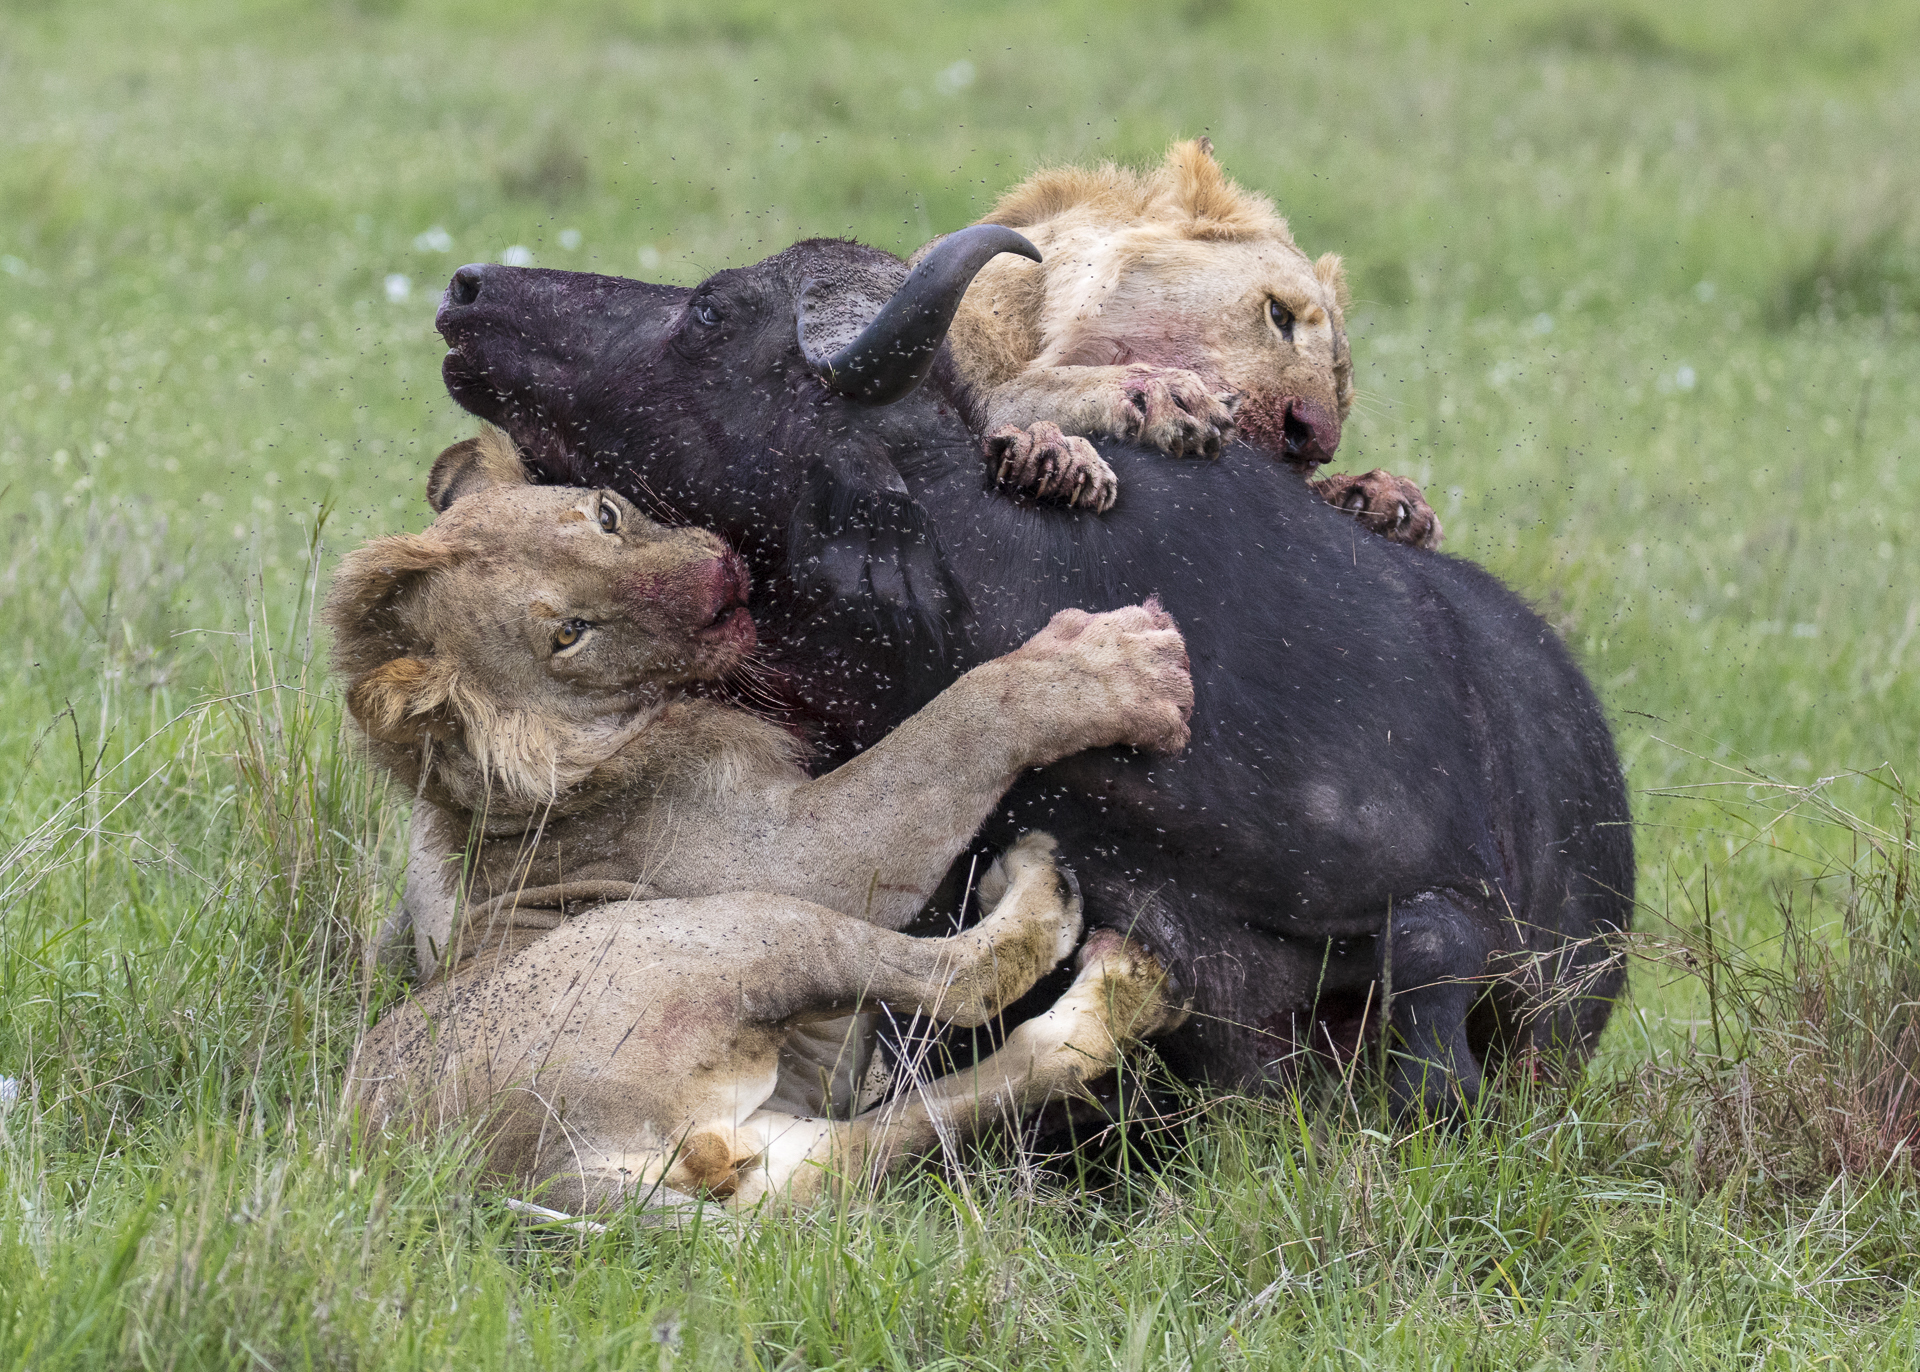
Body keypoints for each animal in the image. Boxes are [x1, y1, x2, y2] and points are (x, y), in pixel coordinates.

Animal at [337, 429, 1190, 1212]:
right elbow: (958, 724)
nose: (714, 584)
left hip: (776, 1147)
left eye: (607, 515)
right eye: (569, 635)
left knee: (891, 1136)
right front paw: (1110, 668)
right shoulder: (804, 850)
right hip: (739, 928)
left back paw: (1117, 998)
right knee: (961, 980)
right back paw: (1051, 897)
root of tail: (563, 1177)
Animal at [921, 138, 1436, 548]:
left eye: (1342, 395)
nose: (1312, 443)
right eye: (1278, 315)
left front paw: (1387, 501)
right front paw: (1160, 396)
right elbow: (1026, 391)